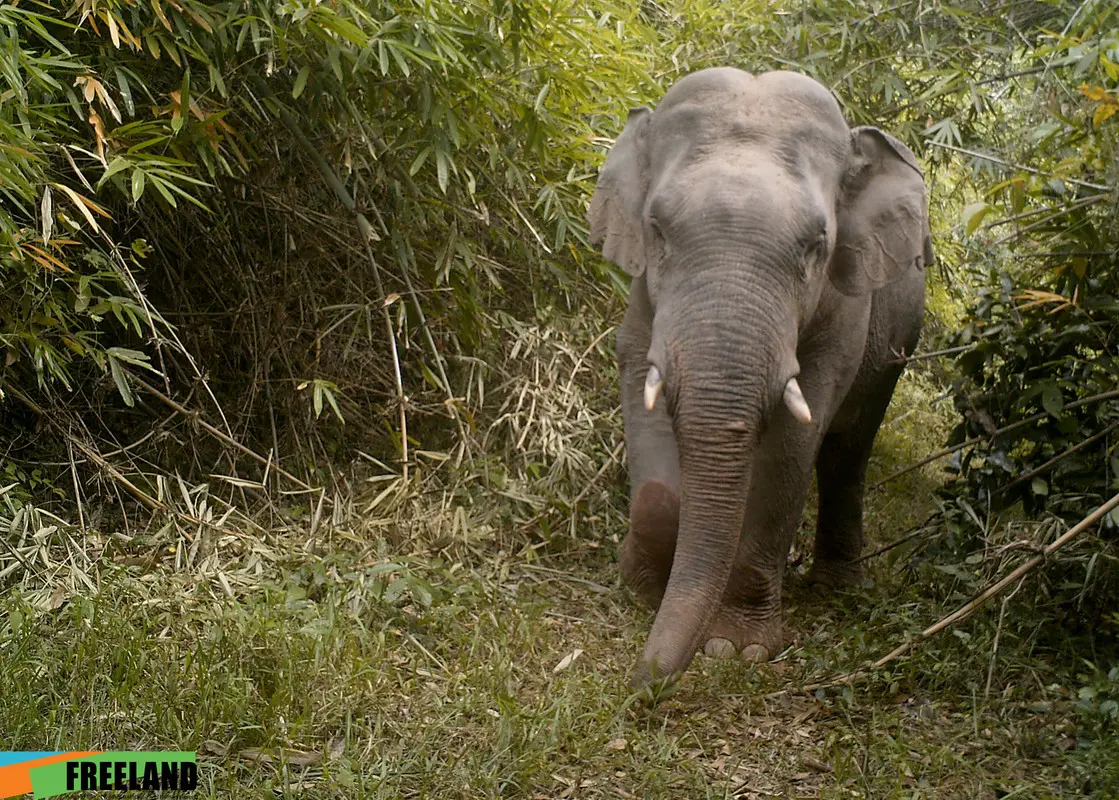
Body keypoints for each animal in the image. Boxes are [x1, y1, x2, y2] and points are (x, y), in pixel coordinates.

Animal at [586, 68, 935, 693]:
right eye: (656, 228)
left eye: (817, 245)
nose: (640, 688)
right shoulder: (643, 299)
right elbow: (641, 391)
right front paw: (642, 585)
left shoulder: (844, 316)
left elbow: (790, 450)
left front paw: (735, 649)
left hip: (898, 344)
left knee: (848, 452)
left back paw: (836, 588)